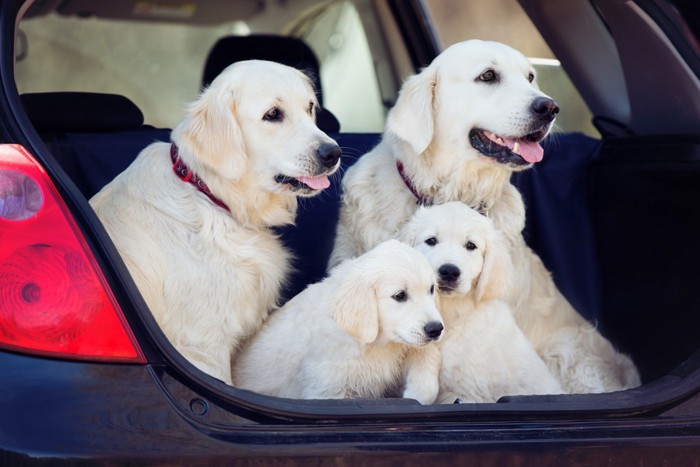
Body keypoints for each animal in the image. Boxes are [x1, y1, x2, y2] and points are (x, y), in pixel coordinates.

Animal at [234, 239, 442, 404]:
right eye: (400, 295)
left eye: (431, 289)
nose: (436, 329)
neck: (374, 344)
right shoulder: (328, 388)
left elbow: (427, 355)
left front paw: (417, 393)